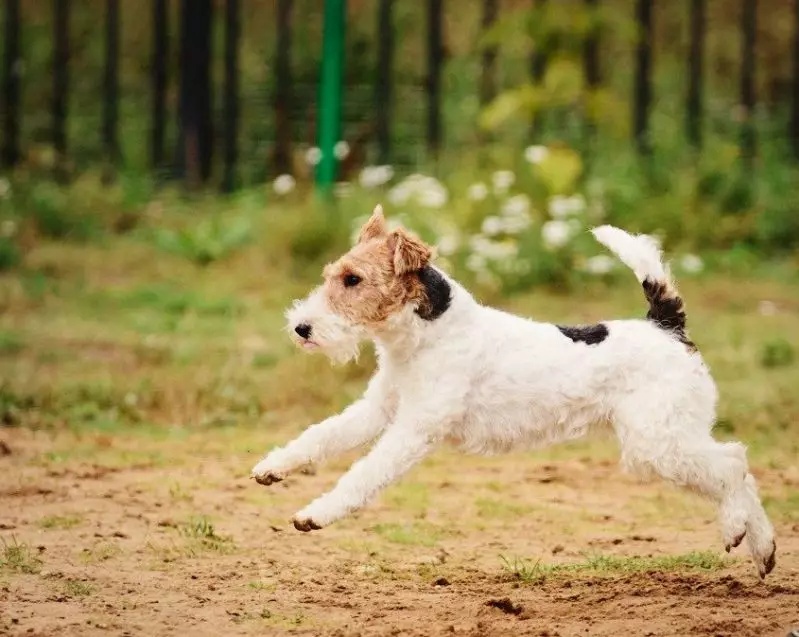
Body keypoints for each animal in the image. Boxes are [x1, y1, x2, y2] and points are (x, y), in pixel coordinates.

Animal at [253, 206, 780, 580]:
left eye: (353, 279)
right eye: (331, 274)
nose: (300, 328)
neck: (426, 335)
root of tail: (667, 325)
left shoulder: (415, 429)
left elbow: (361, 475)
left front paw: (314, 515)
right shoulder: (378, 410)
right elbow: (318, 436)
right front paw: (270, 469)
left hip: (658, 442)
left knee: (733, 463)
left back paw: (737, 531)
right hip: (665, 439)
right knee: (740, 471)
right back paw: (765, 552)